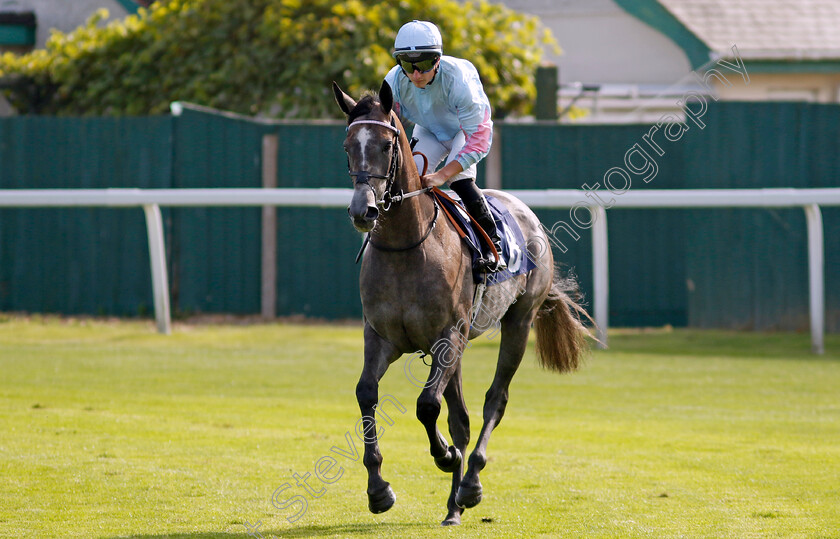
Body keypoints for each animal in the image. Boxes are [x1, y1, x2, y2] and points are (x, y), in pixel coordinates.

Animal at [332, 81, 588, 528]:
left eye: (386, 144)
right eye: (348, 146)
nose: (363, 210)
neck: (407, 245)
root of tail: (529, 216)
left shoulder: (447, 336)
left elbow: (426, 405)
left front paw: (446, 456)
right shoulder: (381, 337)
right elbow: (367, 393)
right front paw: (378, 490)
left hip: (518, 323)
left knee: (494, 402)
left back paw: (469, 485)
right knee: (462, 418)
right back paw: (453, 505)